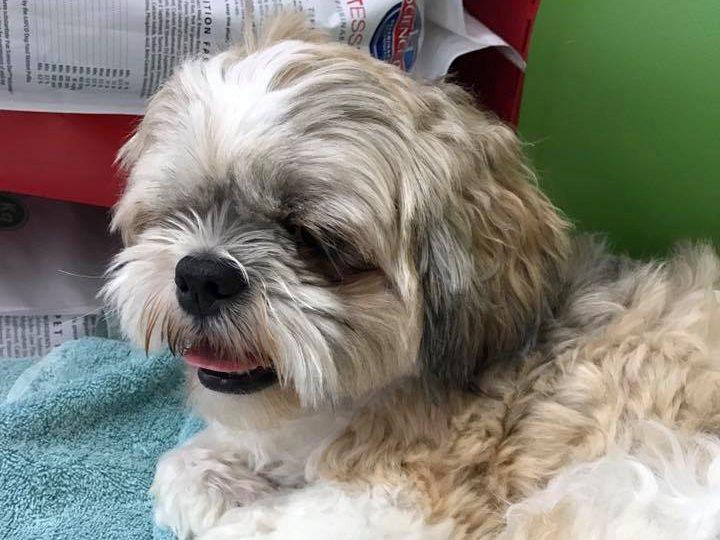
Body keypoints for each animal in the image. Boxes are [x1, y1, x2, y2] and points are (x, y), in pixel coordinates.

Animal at [104, 14, 720, 540]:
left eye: (315, 240)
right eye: (179, 210)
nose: (203, 274)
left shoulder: (399, 498)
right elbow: (182, 463)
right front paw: (224, 481)